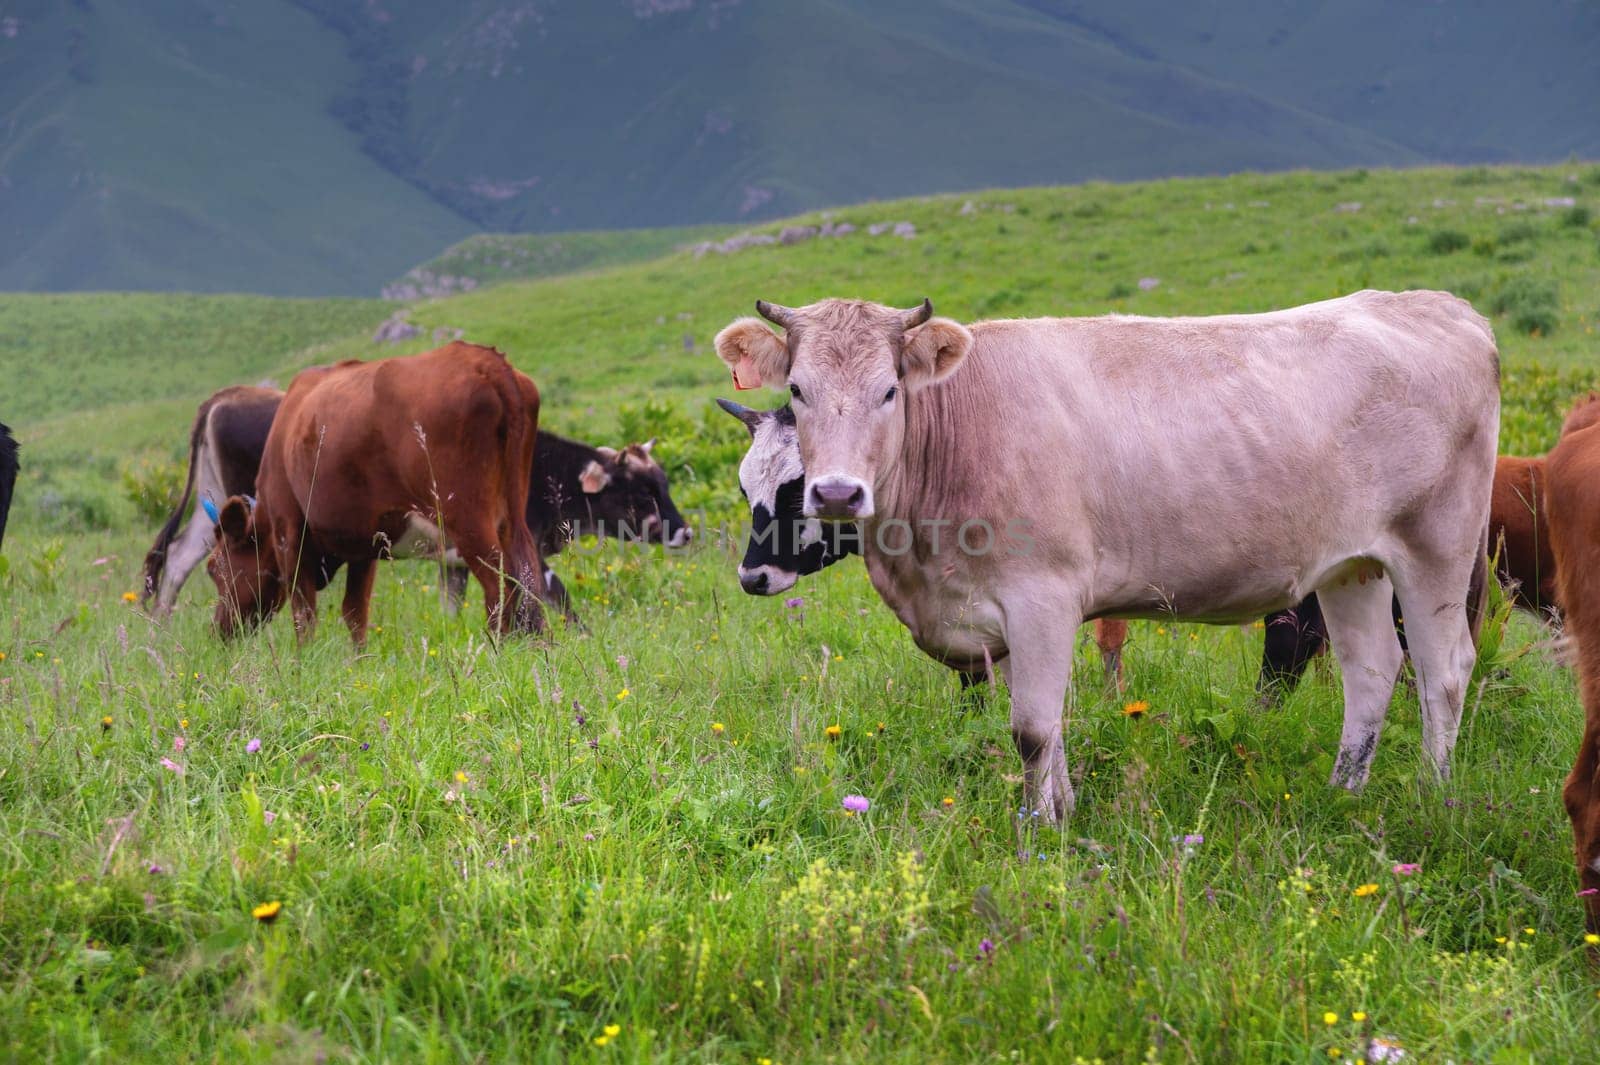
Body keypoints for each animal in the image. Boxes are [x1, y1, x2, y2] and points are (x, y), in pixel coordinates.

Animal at [142, 383, 681, 614]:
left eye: (666, 482)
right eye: (642, 490)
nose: (685, 531)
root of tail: (226, 395)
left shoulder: (455, 558)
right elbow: (556, 596)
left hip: (215, 499)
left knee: (180, 557)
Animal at [204, 342, 544, 639]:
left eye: (213, 568)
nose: (219, 630)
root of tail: (486, 362)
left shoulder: (288, 531)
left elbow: (304, 613)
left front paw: (301, 665)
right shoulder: (364, 539)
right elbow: (355, 612)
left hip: (465, 515)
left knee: (500, 582)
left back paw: (498, 648)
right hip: (510, 513)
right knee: (529, 573)